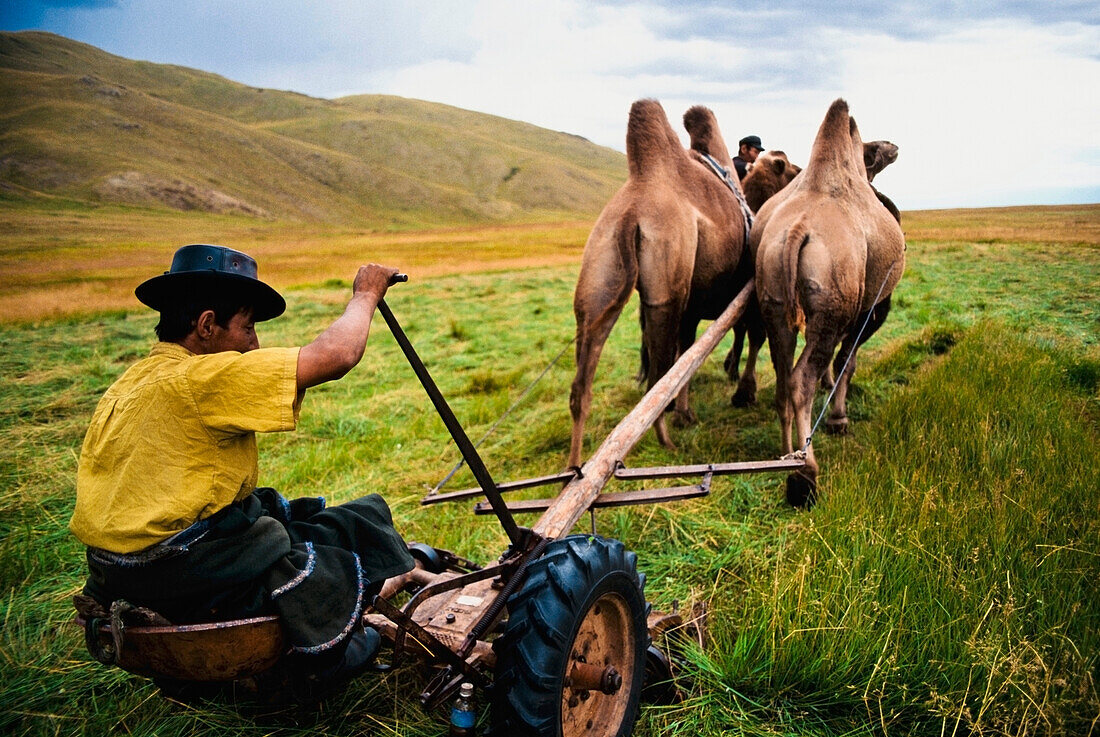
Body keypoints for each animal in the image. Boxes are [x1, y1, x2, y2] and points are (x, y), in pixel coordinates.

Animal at [567, 99, 756, 468]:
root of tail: (631, 212)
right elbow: (693, 353)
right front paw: (690, 412)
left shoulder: (695, 303)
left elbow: (691, 350)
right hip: (667, 288)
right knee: (659, 377)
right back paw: (665, 440)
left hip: (597, 276)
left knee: (581, 384)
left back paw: (574, 468)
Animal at [752, 101, 906, 508]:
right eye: (873, 149)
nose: (894, 145)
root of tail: (796, 231)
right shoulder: (868, 309)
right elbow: (847, 363)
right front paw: (839, 419)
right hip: (831, 309)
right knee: (800, 379)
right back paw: (805, 475)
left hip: (774, 301)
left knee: (782, 376)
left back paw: (786, 453)